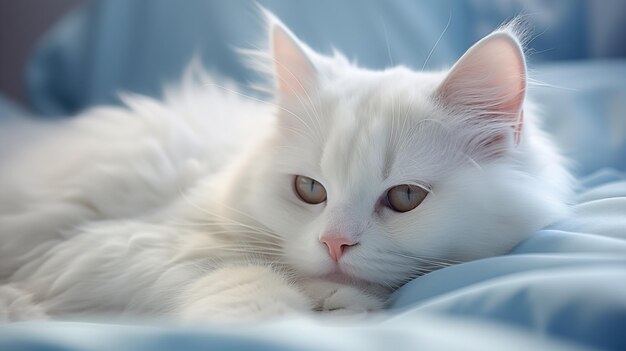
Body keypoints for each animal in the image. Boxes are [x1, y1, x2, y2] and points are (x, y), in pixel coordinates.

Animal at [0, 12, 572, 324]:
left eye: (405, 198)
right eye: (309, 190)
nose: (335, 244)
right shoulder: (120, 242)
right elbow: (241, 275)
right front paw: (286, 316)